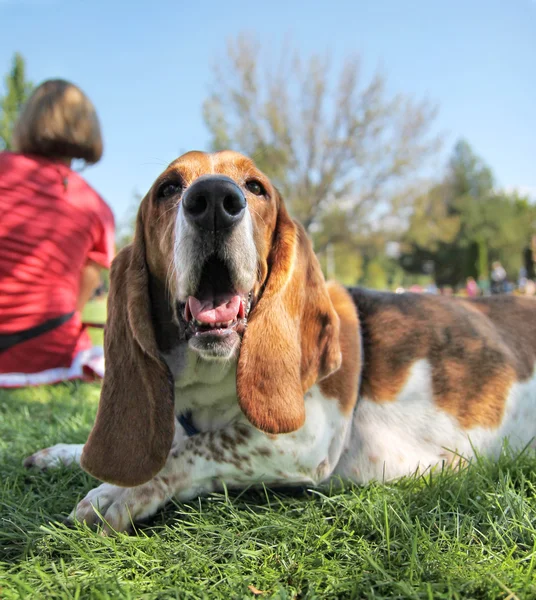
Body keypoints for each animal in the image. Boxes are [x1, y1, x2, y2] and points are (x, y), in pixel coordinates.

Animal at [24, 152, 536, 532]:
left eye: (256, 187)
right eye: (168, 188)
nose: (214, 198)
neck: (211, 380)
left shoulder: (302, 439)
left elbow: (194, 448)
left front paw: (119, 492)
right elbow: (163, 443)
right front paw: (66, 454)